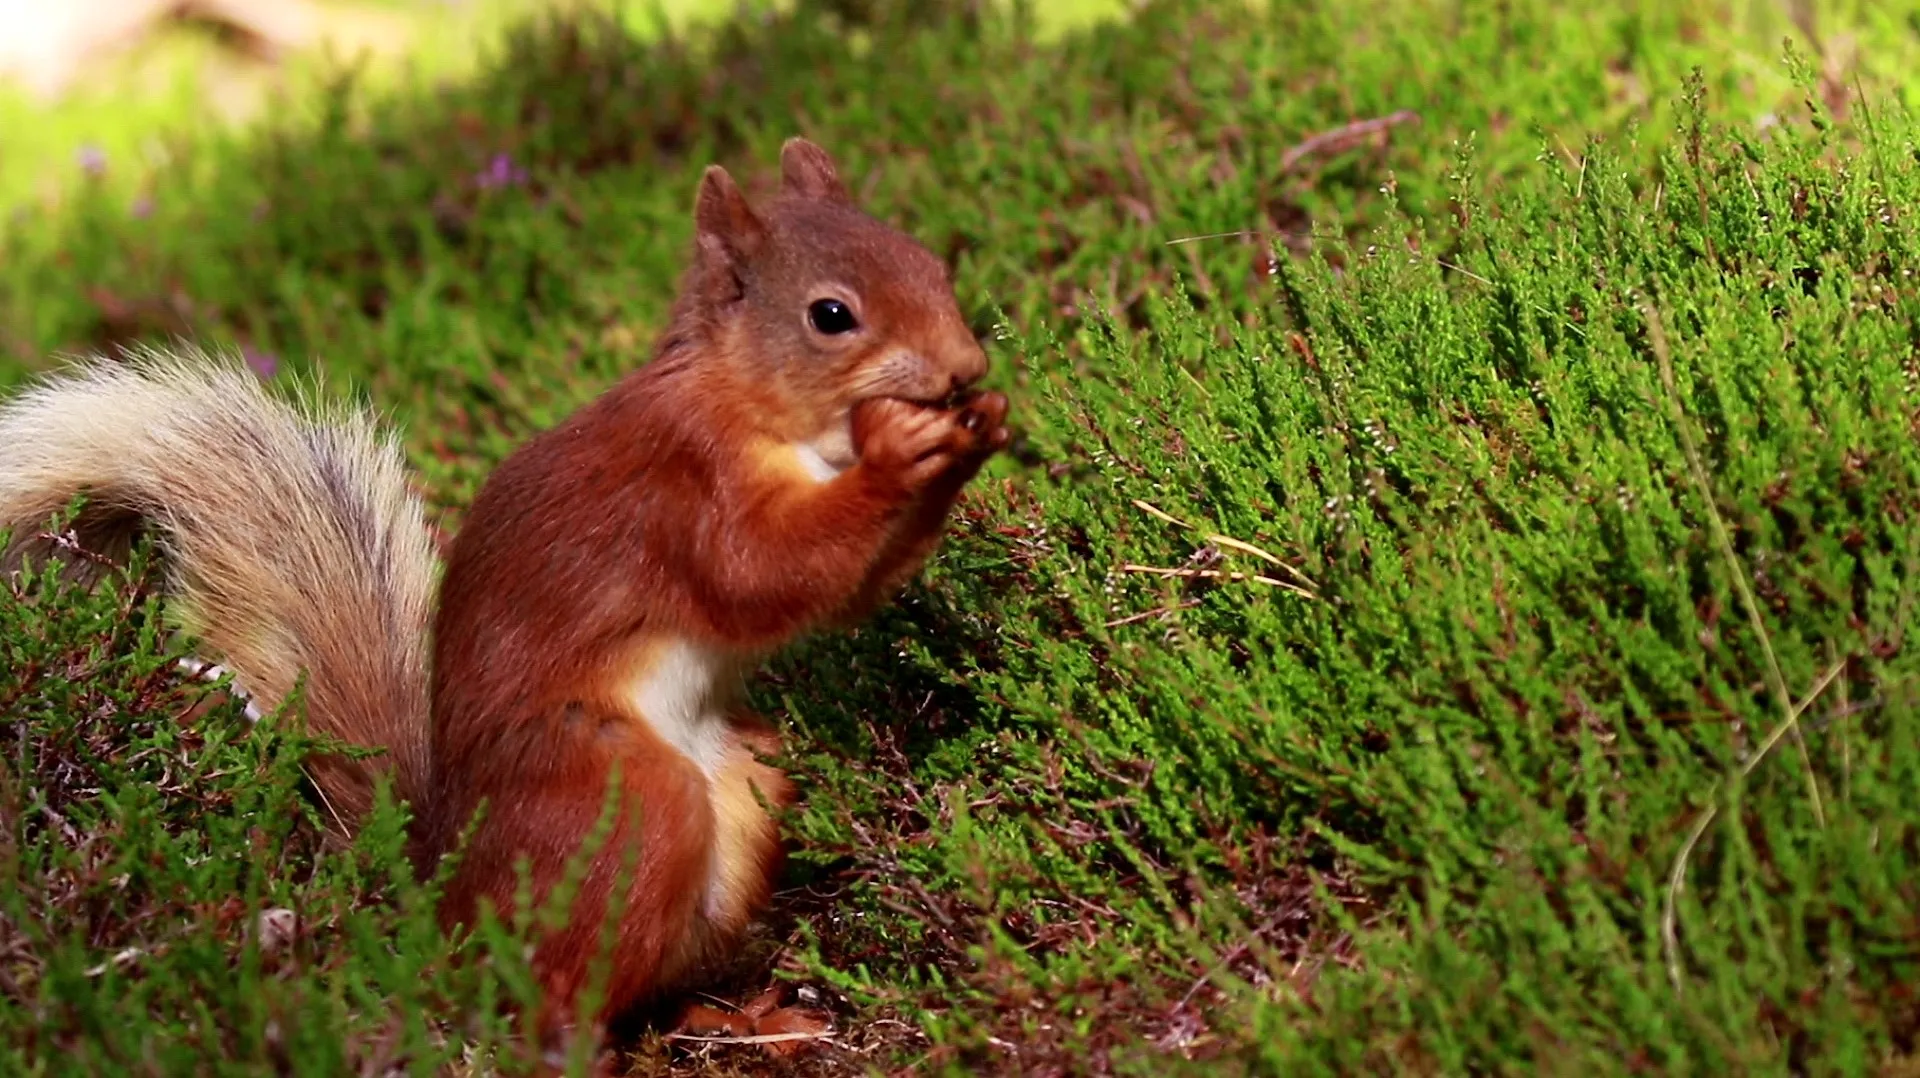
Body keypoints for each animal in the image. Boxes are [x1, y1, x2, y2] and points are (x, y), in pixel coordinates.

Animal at [0, 138, 1013, 1037]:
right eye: (830, 315)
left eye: (929, 261)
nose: (967, 366)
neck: (751, 405)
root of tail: (448, 890)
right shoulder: (683, 490)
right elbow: (759, 574)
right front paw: (901, 455)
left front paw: (980, 429)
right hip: (614, 793)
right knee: (556, 976)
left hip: (747, 775)